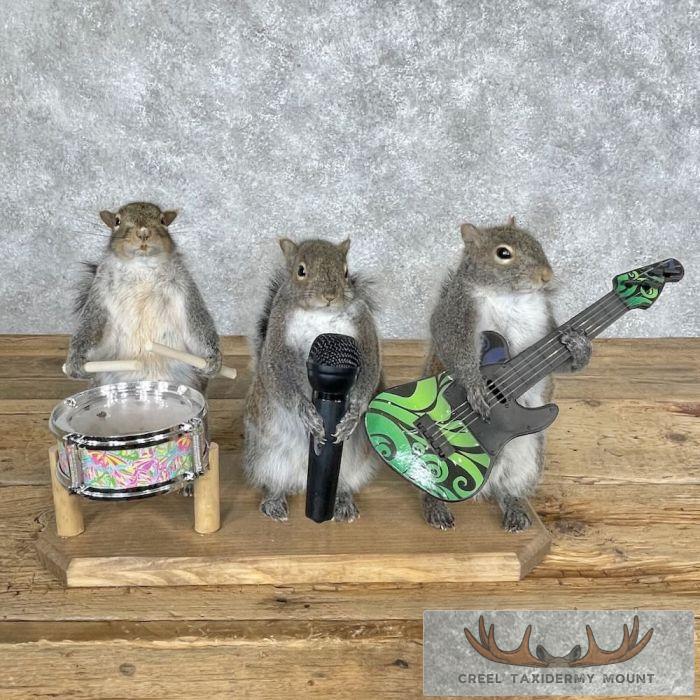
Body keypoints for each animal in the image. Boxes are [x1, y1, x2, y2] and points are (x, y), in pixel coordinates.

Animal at [64, 202, 222, 393]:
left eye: (163, 221)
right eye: (117, 221)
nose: (143, 233)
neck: (142, 269)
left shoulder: (185, 289)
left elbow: (197, 327)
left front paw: (212, 359)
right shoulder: (99, 295)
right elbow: (91, 329)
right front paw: (75, 362)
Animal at [244, 237, 382, 522]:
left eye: (345, 272)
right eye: (301, 271)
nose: (329, 296)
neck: (320, 314)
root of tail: (302, 481)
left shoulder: (364, 329)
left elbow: (371, 369)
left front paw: (353, 414)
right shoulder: (277, 335)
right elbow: (276, 372)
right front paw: (306, 412)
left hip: (353, 464)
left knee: (344, 482)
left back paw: (343, 501)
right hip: (265, 455)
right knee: (274, 481)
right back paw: (274, 501)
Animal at [422, 217, 592, 532]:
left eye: (537, 243)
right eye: (503, 253)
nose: (547, 276)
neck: (511, 297)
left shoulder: (545, 323)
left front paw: (579, 346)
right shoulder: (456, 312)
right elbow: (452, 345)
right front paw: (475, 386)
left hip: (528, 457)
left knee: (507, 489)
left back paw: (513, 508)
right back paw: (435, 507)